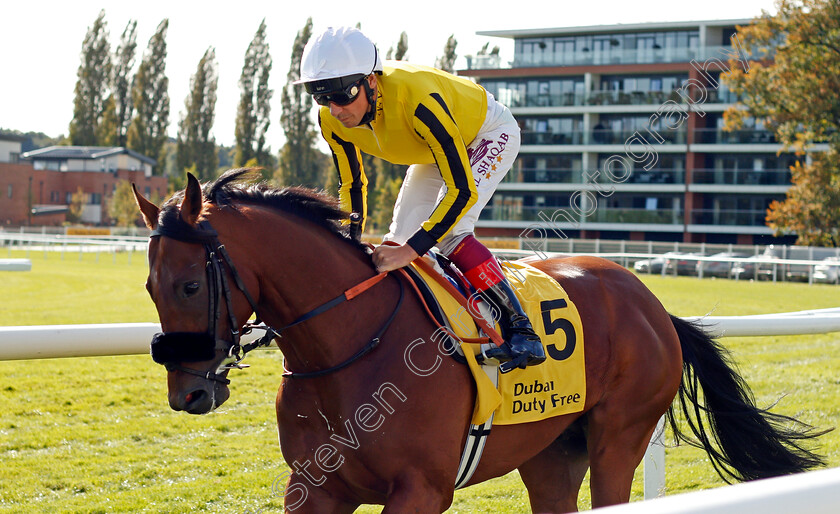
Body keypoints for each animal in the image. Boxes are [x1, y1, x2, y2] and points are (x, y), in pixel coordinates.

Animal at [135, 167, 824, 508]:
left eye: (190, 286)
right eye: (149, 286)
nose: (188, 393)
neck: (350, 346)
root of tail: (652, 304)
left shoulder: (420, 490)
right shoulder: (314, 488)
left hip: (619, 439)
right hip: (551, 452)